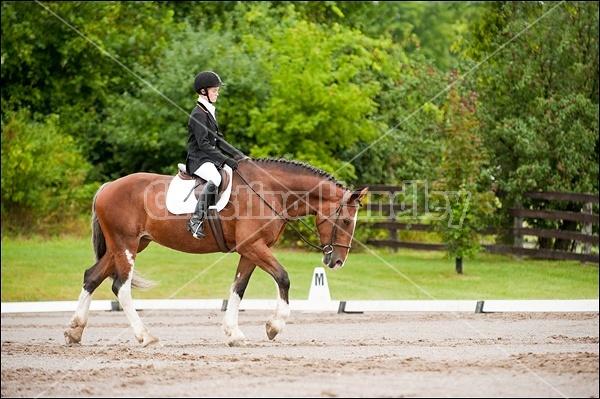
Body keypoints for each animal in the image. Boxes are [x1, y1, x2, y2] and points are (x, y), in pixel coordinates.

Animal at [63, 158, 368, 348]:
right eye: (345, 221)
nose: (337, 261)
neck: (270, 192)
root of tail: (107, 187)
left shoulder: (250, 250)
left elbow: (238, 288)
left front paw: (234, 334)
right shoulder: (253, 246)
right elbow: (283, 277)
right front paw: (274, 326)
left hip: (127, 246)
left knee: (91, 277)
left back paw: (75, 331)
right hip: (126, 246)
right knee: (121, 288)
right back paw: (145, 337)